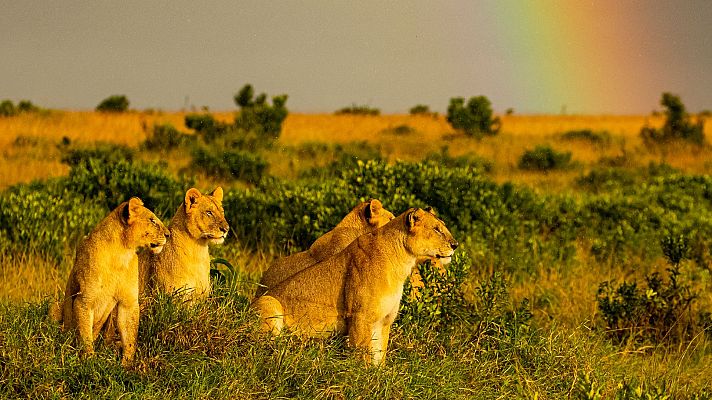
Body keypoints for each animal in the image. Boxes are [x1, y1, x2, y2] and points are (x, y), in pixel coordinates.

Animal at [56, 197, 169, 365]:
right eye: (152, 220)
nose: (168, 234)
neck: (120, 252)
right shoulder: (84, 300)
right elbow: (85, 335)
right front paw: (89, 362)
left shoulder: (128, 302)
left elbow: (130, 337)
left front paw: (126, 365)